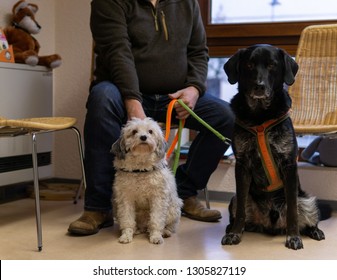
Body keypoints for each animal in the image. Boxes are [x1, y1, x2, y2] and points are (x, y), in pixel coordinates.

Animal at [222, 44, 324, 250]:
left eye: (272, 65)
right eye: (249, 64)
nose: (259, 86)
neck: (260, 115)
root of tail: (271, 224)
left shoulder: (288, 165)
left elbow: (293, 210)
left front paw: (293, 237)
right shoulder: (242, 166)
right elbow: (241, 210)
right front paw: (235, 233)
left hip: (308, 201)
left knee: (308, 218)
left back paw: (315, 231)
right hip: (233, 200)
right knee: (239, 212)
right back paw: (233, 228)